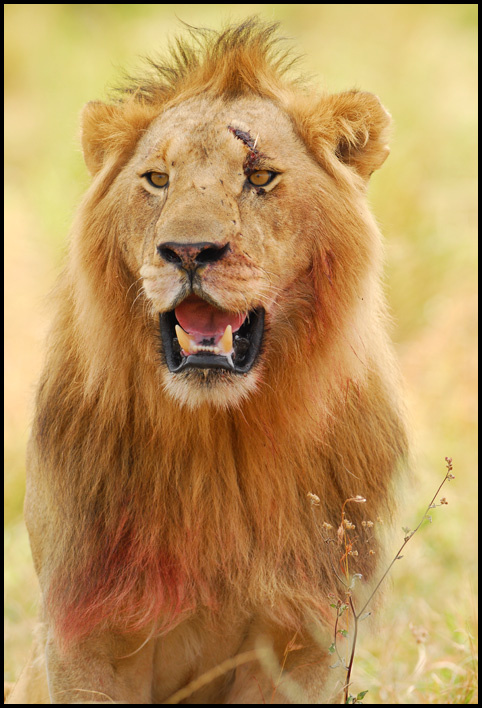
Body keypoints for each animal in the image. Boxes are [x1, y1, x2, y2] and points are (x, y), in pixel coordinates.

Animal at [9, 18, 407, 705]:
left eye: (261, 177)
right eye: (156, 179)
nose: (189, 250)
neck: (220, 437)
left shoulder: (304, 634)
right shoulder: (86, 630)